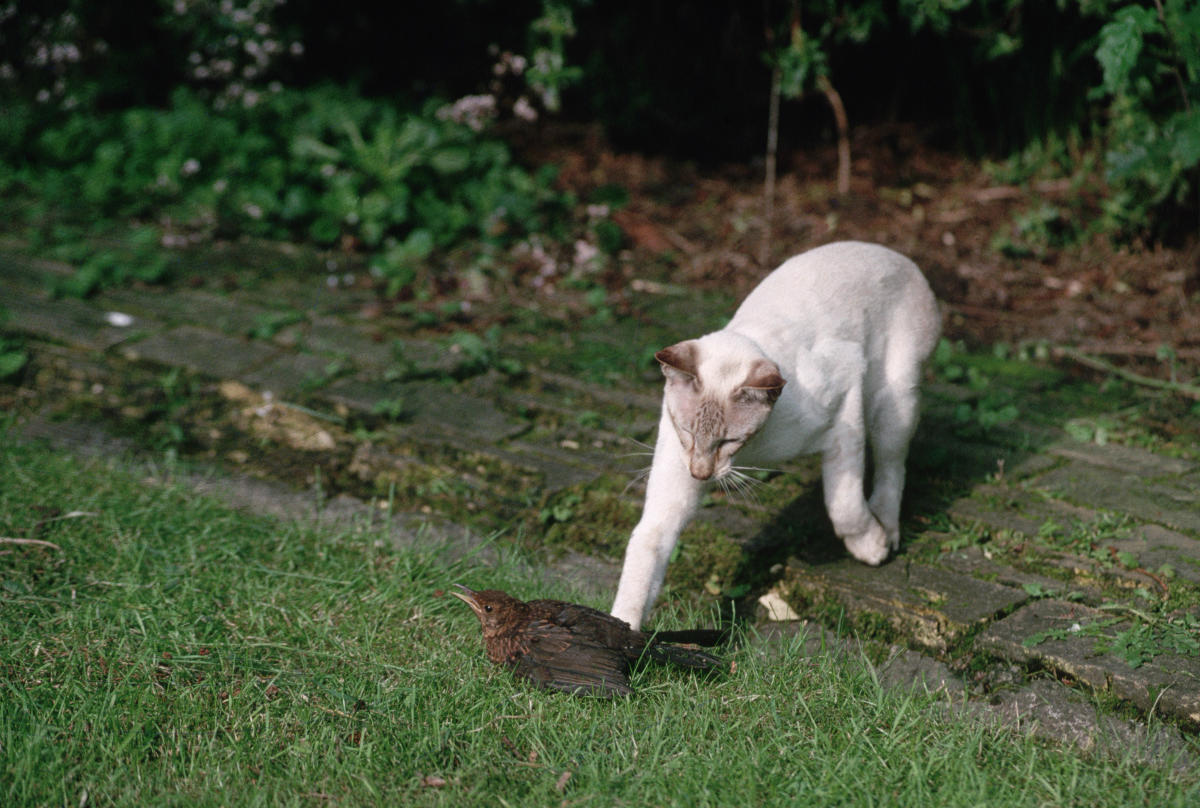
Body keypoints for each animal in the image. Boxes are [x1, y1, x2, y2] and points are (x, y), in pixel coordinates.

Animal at [614, 240, 940, 629]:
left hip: (892, 403)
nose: (702, 475)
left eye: (729, 441)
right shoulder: (676, 474)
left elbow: (843, 506)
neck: (754, 450)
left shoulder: (845, 406)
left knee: (892, 466)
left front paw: (869, 546)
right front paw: (622, 633)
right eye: (687, 432)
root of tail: (894, 254)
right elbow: (643, 558)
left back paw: (886, 533)